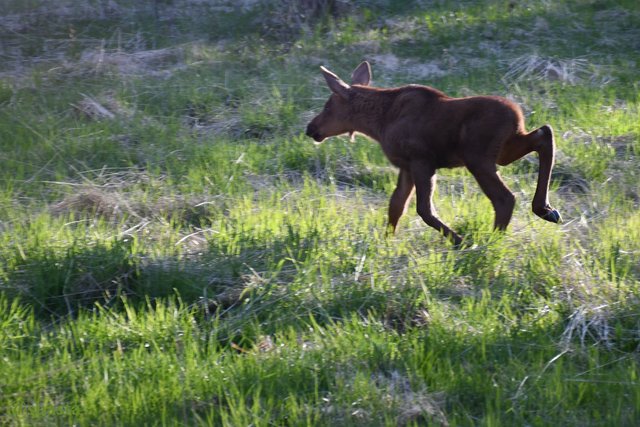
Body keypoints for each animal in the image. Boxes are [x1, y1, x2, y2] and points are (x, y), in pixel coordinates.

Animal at [304, 61, 560, 246]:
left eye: (328, 106)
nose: (311, 128)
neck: (378, 124)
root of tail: (517, 116)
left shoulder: (422, 161)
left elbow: (423, 209)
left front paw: (460, 241)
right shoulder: (406, 166)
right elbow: (396, 205)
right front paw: (386, 243)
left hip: (479, 158)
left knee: (505, 197)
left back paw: (493, 242)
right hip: (505, 151)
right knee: (544, 133)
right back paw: (545, 210)